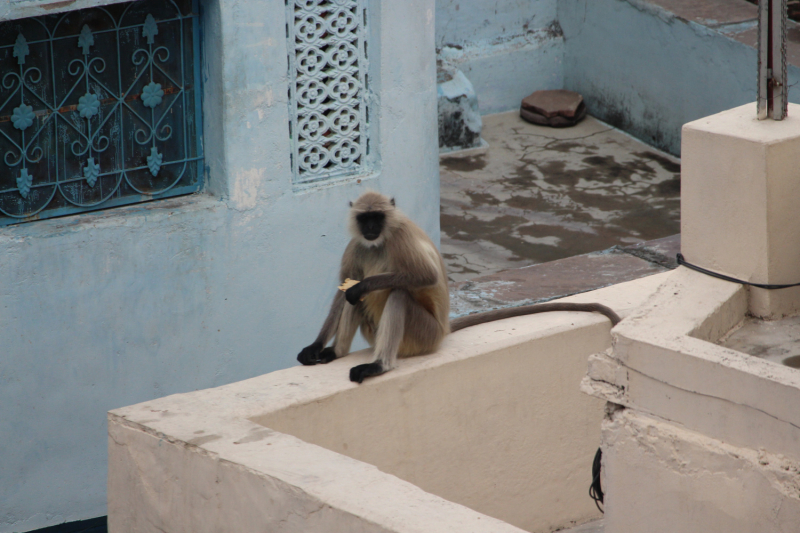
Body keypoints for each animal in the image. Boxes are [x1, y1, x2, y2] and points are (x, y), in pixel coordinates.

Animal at [296, 191, 620, 382]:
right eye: (365, 218)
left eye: (378, 217)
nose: (372, 229)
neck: (380, 241)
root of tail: (444, 331)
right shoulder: (357, 244)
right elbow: (343, 289)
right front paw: (314, 347)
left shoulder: (400, 237)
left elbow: (423, 277)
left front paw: (361, 287)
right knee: (355, 300)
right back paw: (335, 352)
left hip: (423, 335)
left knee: (396, 294)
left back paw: (380, 365)